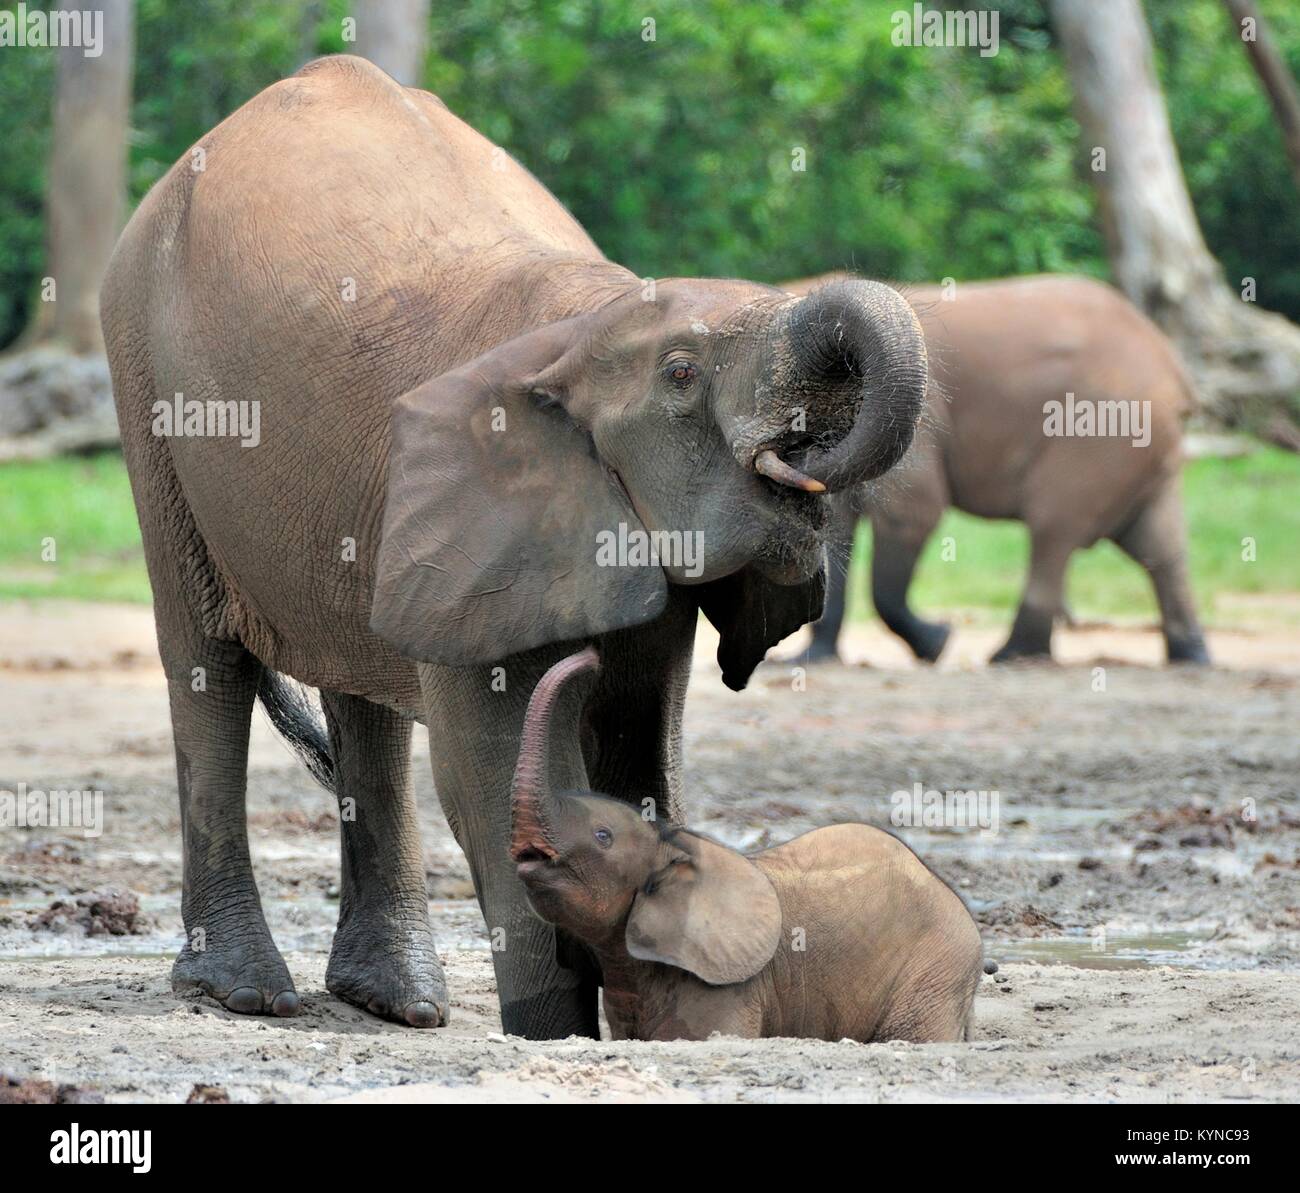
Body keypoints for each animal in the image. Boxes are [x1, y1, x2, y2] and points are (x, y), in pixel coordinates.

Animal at [99, 57, 930, 1038]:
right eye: (683, 374)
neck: (586, 321)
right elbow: (493, 770)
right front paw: (555, 1029)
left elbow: (638, 749)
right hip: (146, 387)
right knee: (208, 663)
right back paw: (242, 992)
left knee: (362, 697)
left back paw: (400, 1002)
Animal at [785, 274, 1210, 666]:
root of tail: (1171, 365)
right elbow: (831, 524)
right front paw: (813, 659)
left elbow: (911, 514)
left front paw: (938, 644)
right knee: (1160, 546)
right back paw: (1191, 655)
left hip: (1102, 430)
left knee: (1053, 529)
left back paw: (1011, 655)